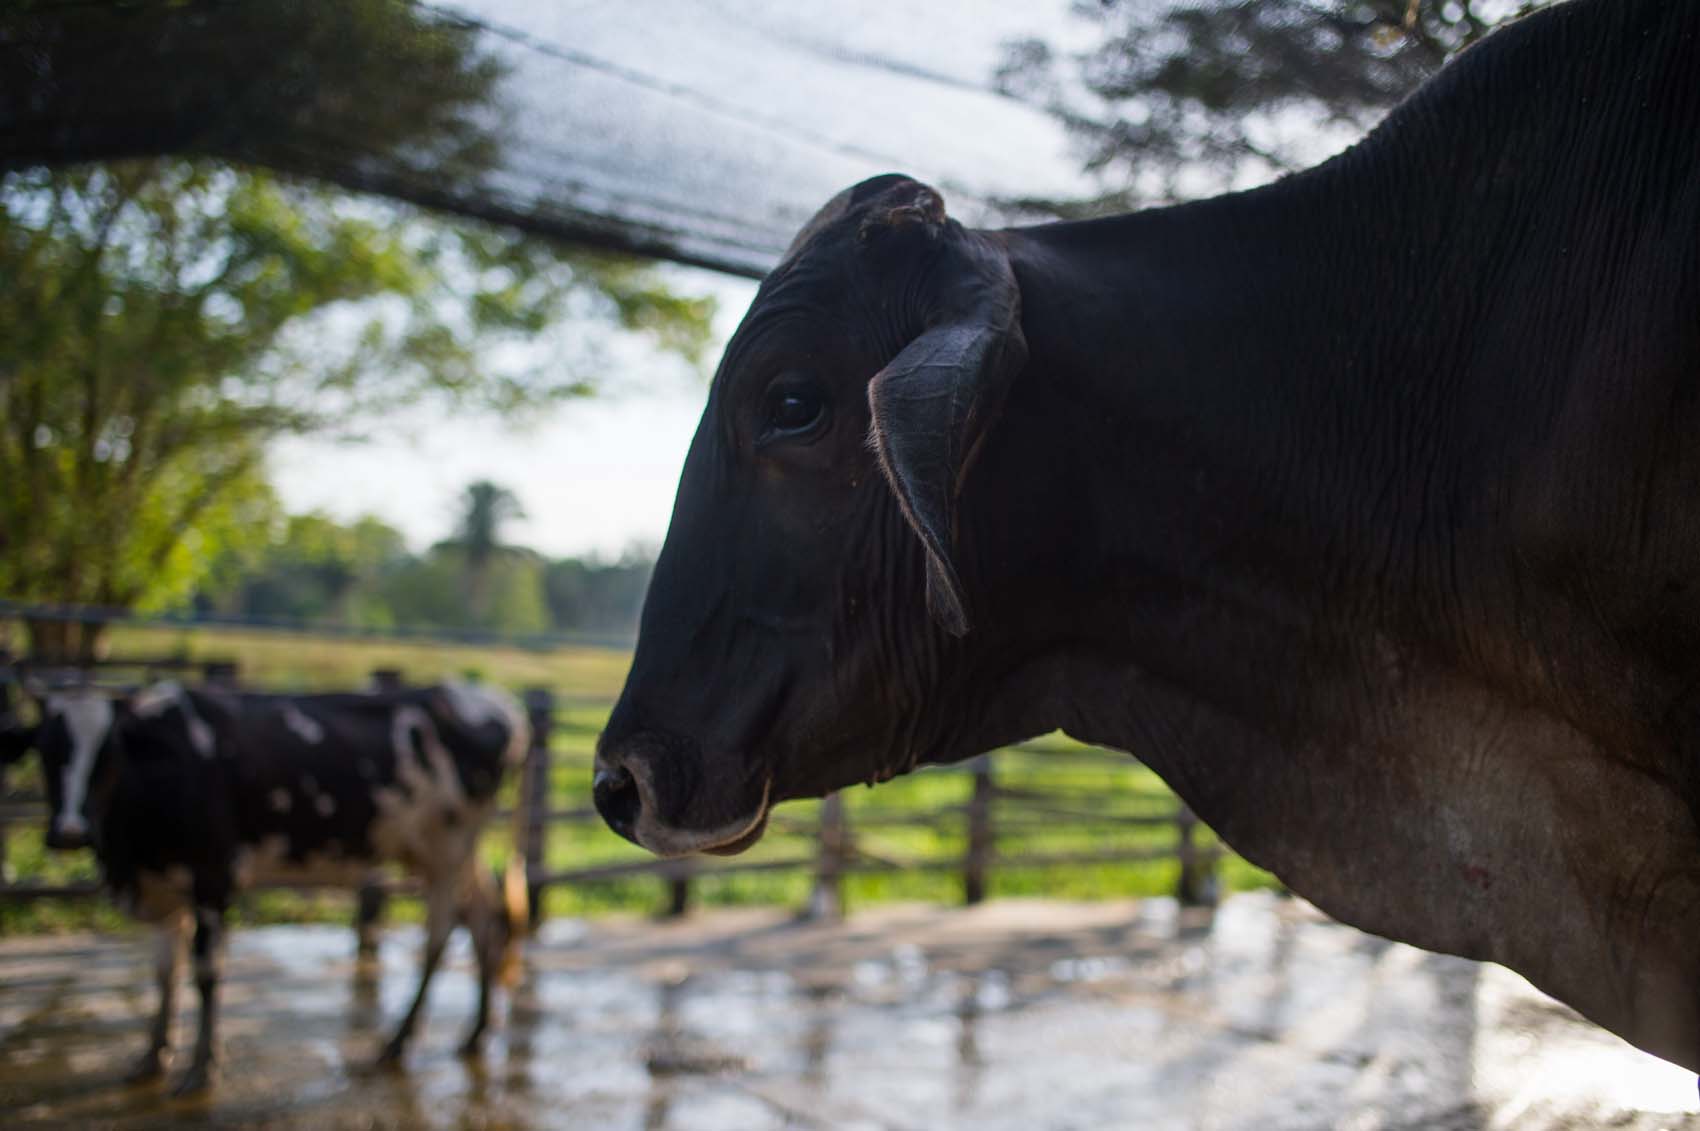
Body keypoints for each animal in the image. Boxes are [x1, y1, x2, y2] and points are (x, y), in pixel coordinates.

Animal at [0, 673, 527, 1088]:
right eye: (45, 750)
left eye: (108, 755)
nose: (69, 832)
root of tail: (496, 702)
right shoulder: (165, 886)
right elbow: (164, 971)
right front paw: (153, 1055)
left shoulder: (212, 873)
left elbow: (206, 971)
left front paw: (202, 1067)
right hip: (433, 851)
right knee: (483, 919)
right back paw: (474, 1035)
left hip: (449, 846)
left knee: (441, 933)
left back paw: (398, 1044)